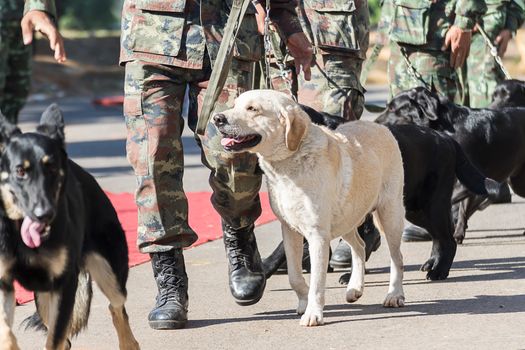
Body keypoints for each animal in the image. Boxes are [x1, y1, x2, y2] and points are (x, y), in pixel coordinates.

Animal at [0, 105, 139, 348]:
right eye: (20, 171)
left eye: (52, 169)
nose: (44, 214)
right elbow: (6, 330)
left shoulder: (64, 285)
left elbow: (55, 339)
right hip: (44, 298)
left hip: (110, 277)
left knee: (116, 307)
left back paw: (129, 343)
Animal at [213, 90, 406, 326]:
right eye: (235, 104)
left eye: (253, 109)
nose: (217, 118)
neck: (287, 165)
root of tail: (380, 126)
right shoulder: (289, 230)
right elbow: (295, 276)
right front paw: (304, 303)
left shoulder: (317, 235)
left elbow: (317, 280)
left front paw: (313, 312)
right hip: (346, 219)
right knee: (359, 246)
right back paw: (355, 287)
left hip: (389, 214)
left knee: (397, 258)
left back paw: (394, 294)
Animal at [264, 108, 498, 280]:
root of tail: (445, 137)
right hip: (414, 208)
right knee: (439, 238)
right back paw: (433, 263)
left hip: (430, 205)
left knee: (447, 239)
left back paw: (439, 272)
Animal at [376, 87, 524, 243]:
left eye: (392, 108)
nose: (375, 122)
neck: (447, 126)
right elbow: (463, 209)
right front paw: (458, 233)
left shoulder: (466, 181)